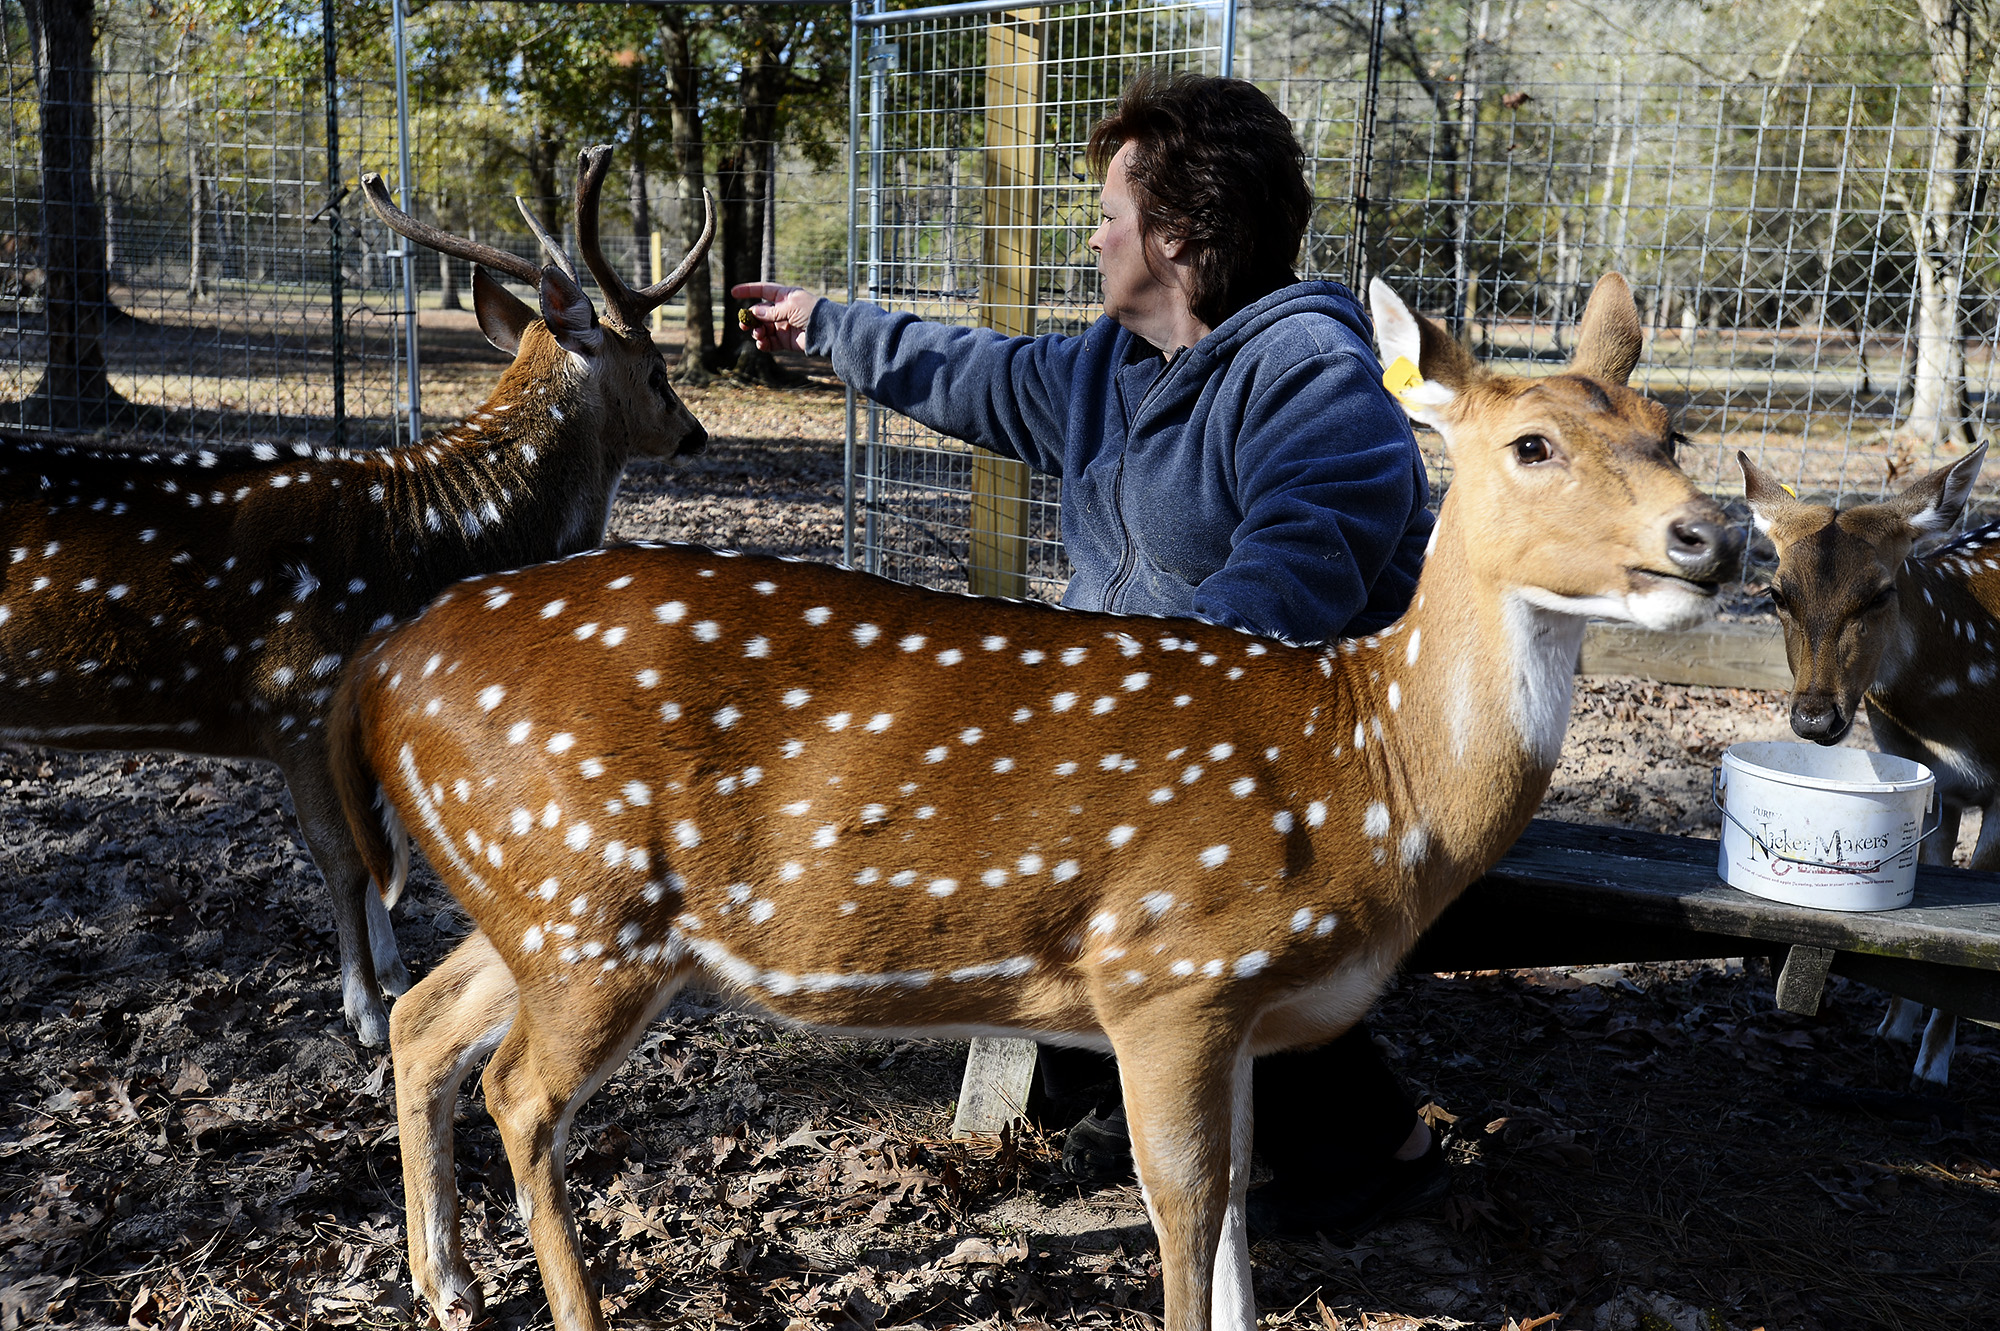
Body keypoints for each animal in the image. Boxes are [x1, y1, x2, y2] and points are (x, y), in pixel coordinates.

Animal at [0, 145, 713, 1048]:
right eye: (657, 370)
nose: (695, 432)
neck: (431, 552)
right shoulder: (298, 698)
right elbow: (344, 858)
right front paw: (366, 1009)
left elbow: (385, 847)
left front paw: (397, 973)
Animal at [328, 272, 1737, 1331]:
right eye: (1530, 445)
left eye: (1666, 427)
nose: (1710, 537)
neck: (1369, 772)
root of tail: (380, 665)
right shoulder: (1165, 967)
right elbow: (1183, 1210)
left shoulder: (1237, 1004)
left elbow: (1235, 1210)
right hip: (586, 907)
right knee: (519, 1091)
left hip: (533, 899)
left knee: (421, 1016)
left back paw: (445, 1285)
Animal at [1741, 443, 1993, 1085]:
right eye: (1777, 594)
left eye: (1880, 593)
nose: (1815, 719)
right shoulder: (1929, 778)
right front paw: (1894, 1031)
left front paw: (1933, 1068)